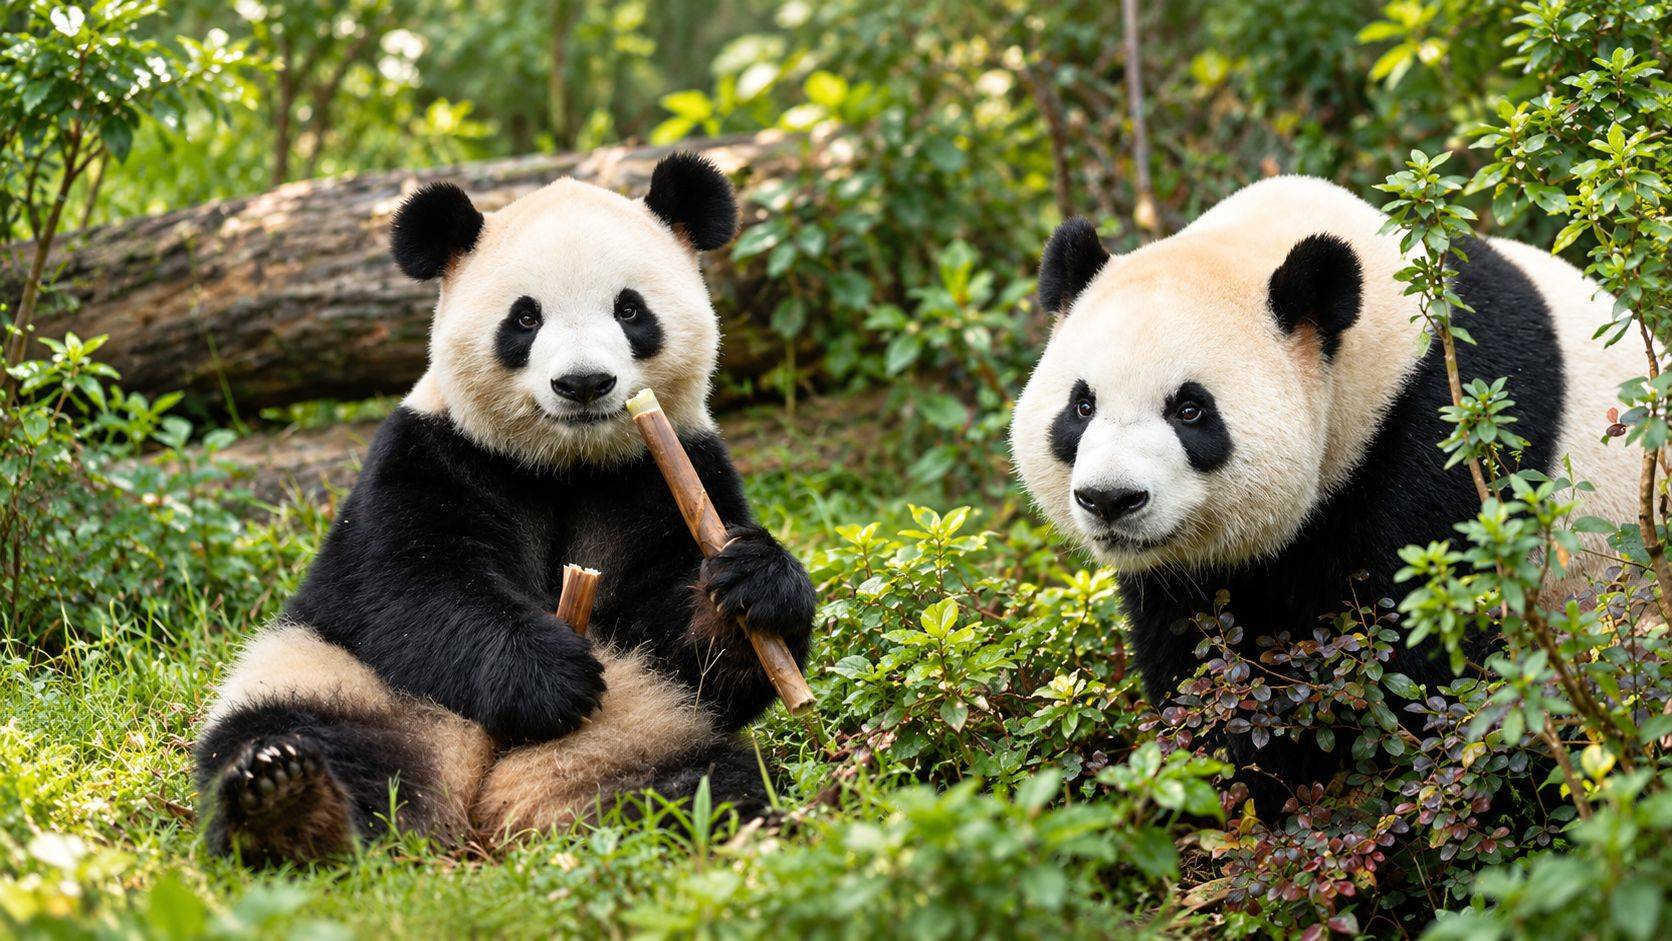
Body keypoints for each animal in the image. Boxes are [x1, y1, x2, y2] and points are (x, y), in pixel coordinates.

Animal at [194, 152, 817, 866]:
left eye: (630, 309)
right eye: (525, 319)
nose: (583, 383)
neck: (568, 465)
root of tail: (478, 803)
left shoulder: (673, 470)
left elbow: (689, 652)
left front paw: (753, 582)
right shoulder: (430, 453)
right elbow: (408, 585)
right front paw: (553, 675)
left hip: (646, 726)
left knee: (710, 783)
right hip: (342, 677)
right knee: (288, 728)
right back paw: (288, 805)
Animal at [1011, 175, 1639, 803]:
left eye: (1190, 410)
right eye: (1082, 406)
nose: (1110, 499)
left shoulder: (1446, 437)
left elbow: (1427, 660)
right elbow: (1195, 653)